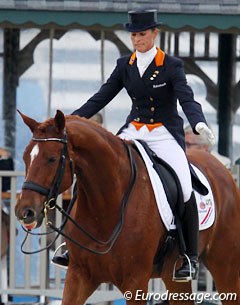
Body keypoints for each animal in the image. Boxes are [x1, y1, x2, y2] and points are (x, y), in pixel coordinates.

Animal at [15, 110, 240, 304]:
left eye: (51, 159)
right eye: (25, 157)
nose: (24, 211)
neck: (105, 207)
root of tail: (222, 170)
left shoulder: (136, 281)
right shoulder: (79, 275)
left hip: (225, 266)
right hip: (173, 274)